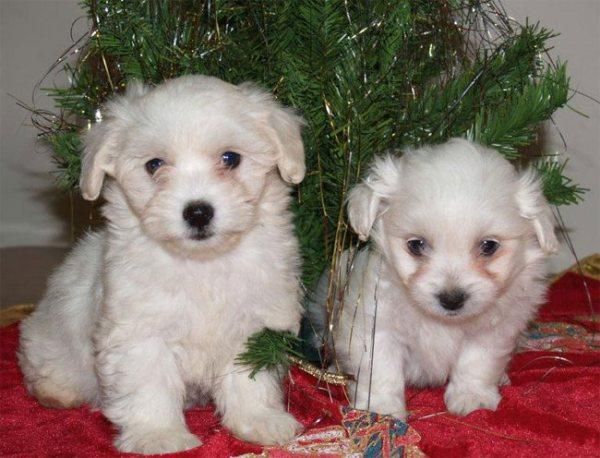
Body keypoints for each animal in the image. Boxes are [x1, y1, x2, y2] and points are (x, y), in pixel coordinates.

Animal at [18, 75, 304, 454]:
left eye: (230, 158)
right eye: (154, 165)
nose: (197, 212)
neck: (202, 264)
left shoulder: (252, 324)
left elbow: (249, 378)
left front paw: (258, 420)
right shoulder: (139, 331)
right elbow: (149, 383)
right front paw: (159, 436)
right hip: (50, 337)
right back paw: (57, 391)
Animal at [310, 139, 556, 418]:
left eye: (489, 246)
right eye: (416, 245)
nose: (452, 299)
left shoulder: (494, 330)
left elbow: (477, 361)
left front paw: (472, 397)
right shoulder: (374, 324)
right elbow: (380, 368)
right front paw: (381, 410)